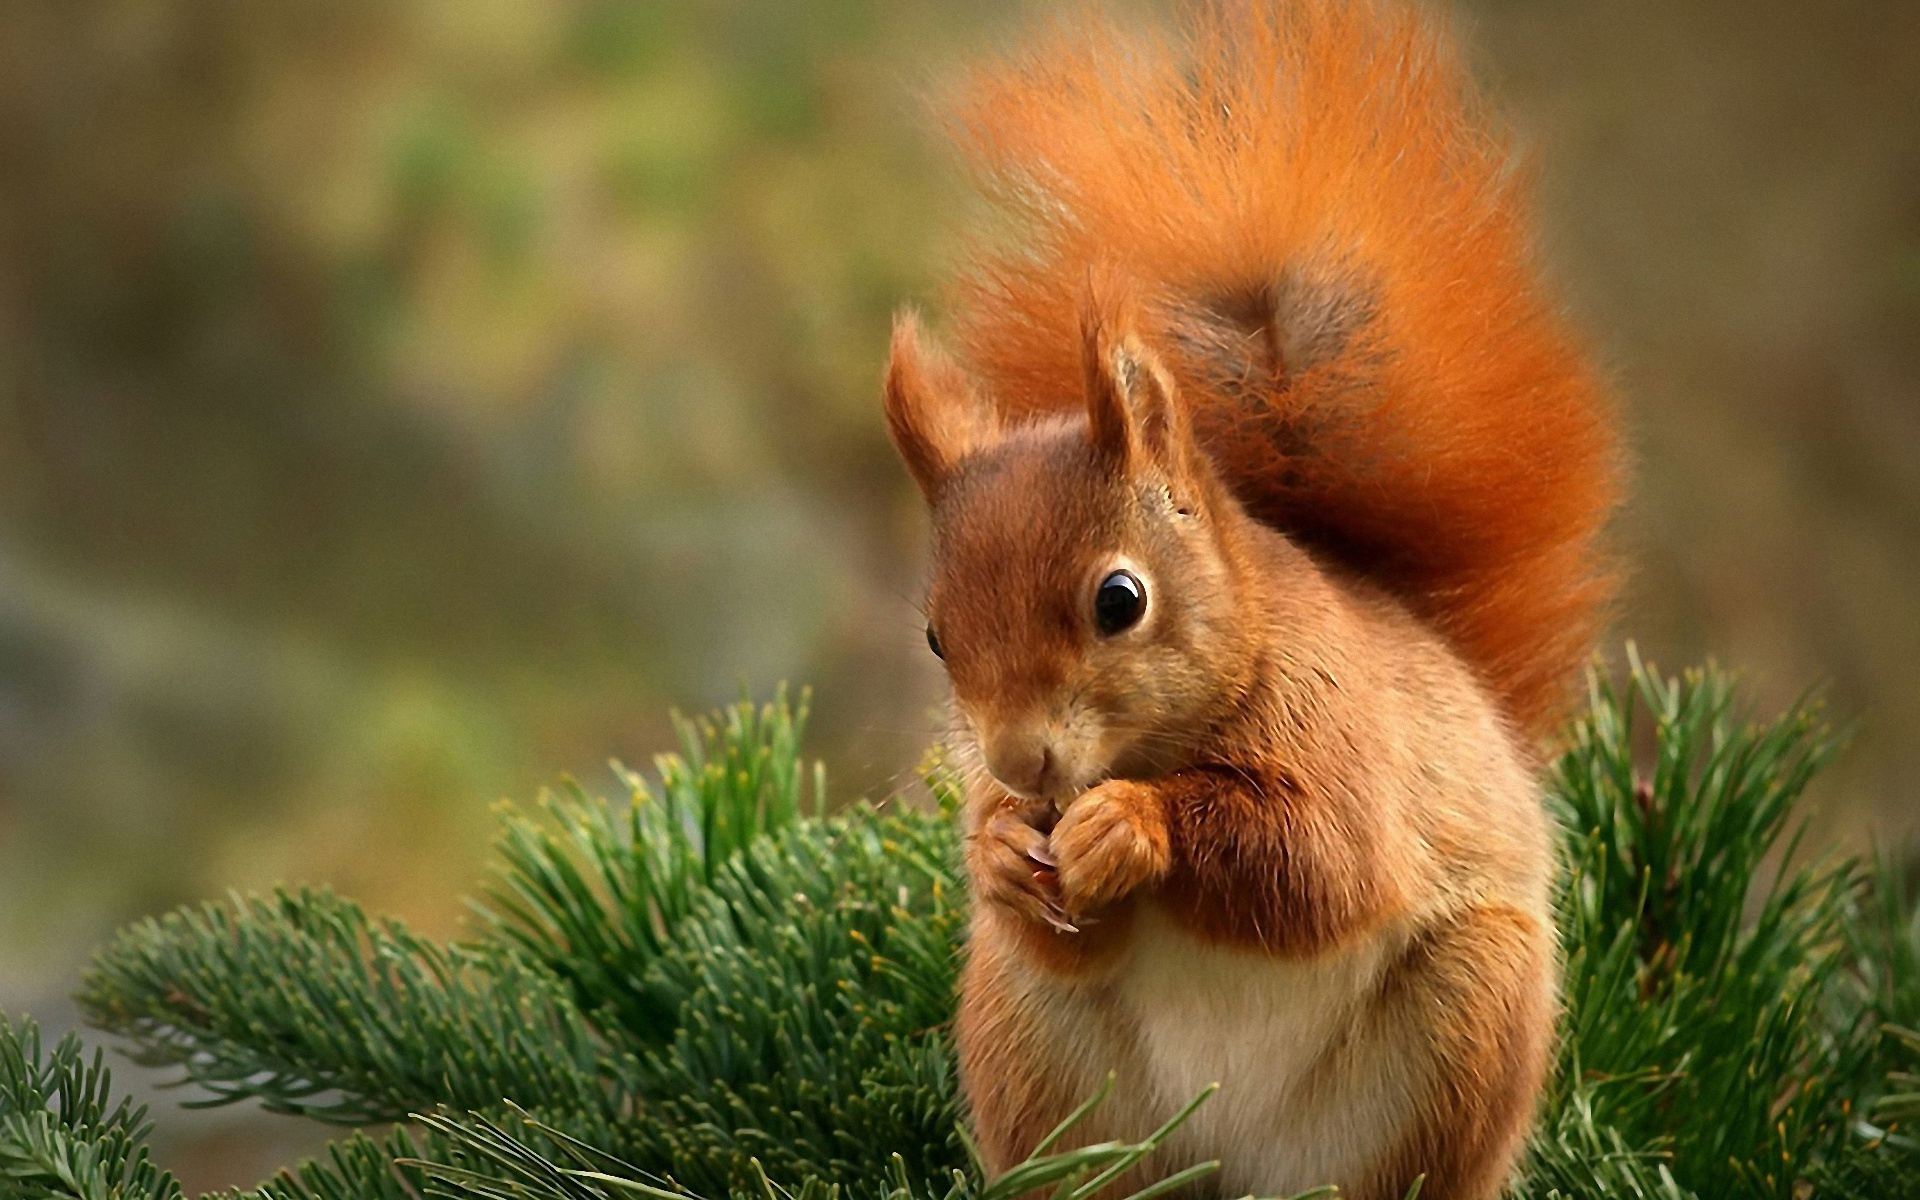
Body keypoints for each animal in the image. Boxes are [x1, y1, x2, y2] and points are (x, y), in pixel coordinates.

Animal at [883, 2, 1620, 1198]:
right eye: (939, 638)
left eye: (1120, 600)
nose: (1019, 765)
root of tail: (1224, 1164)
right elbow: (1054, 919)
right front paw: (995, 851)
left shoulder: (1341, 730)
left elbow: (1320, 863)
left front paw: (1130, 826)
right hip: (1033, 1050)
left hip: (1464, 1024)